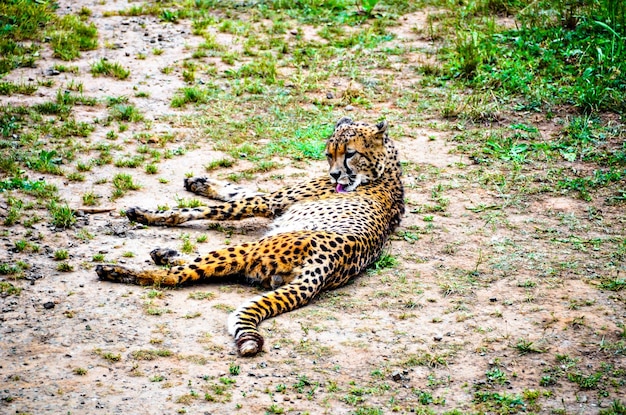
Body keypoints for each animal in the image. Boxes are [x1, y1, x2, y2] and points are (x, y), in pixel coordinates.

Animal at [94, 118, 402, 358]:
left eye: (350, 153)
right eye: (329, 154)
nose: (335, 174)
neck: (387, 169)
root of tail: (325, 269)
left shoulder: (268, 201)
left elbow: (199, 209)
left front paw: (147, 214)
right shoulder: (271, 199)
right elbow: (238, 188)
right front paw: (201, 183)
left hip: (249, 247)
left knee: (175, 277)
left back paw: (116, 270)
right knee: (202, 267)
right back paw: (164, 254)